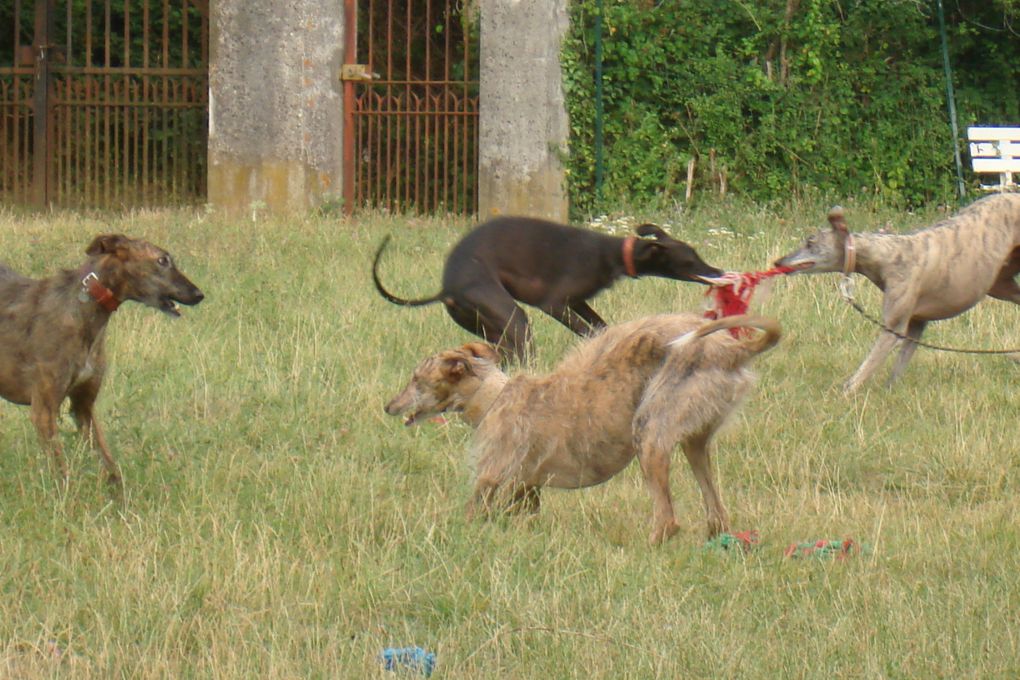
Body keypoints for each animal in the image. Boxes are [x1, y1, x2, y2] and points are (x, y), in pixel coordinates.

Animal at [0, 236, 205, 487]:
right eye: (162, 260)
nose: (199, 294)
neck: (85, 306)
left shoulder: (83, 407)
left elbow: (111, 468)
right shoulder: (44, 411)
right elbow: (62, 475)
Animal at [371, 217, 722, 360]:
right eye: (691, 260)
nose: (718, 271)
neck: (612, 253)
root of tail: (446, 288)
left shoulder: (578, 301)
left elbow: (601, 327)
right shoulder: (554, 303)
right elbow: (587, 330)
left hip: (489, 326)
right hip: (511, 317)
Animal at [383, 311, 779, 546]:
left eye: (416, 379)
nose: (388, 406)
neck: (494, 396)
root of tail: (731, 349)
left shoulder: (489, 479)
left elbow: (470, 516)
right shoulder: (526, 488)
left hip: (649, 432)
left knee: (668, 520)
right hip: (694, 441)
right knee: (716, 513)